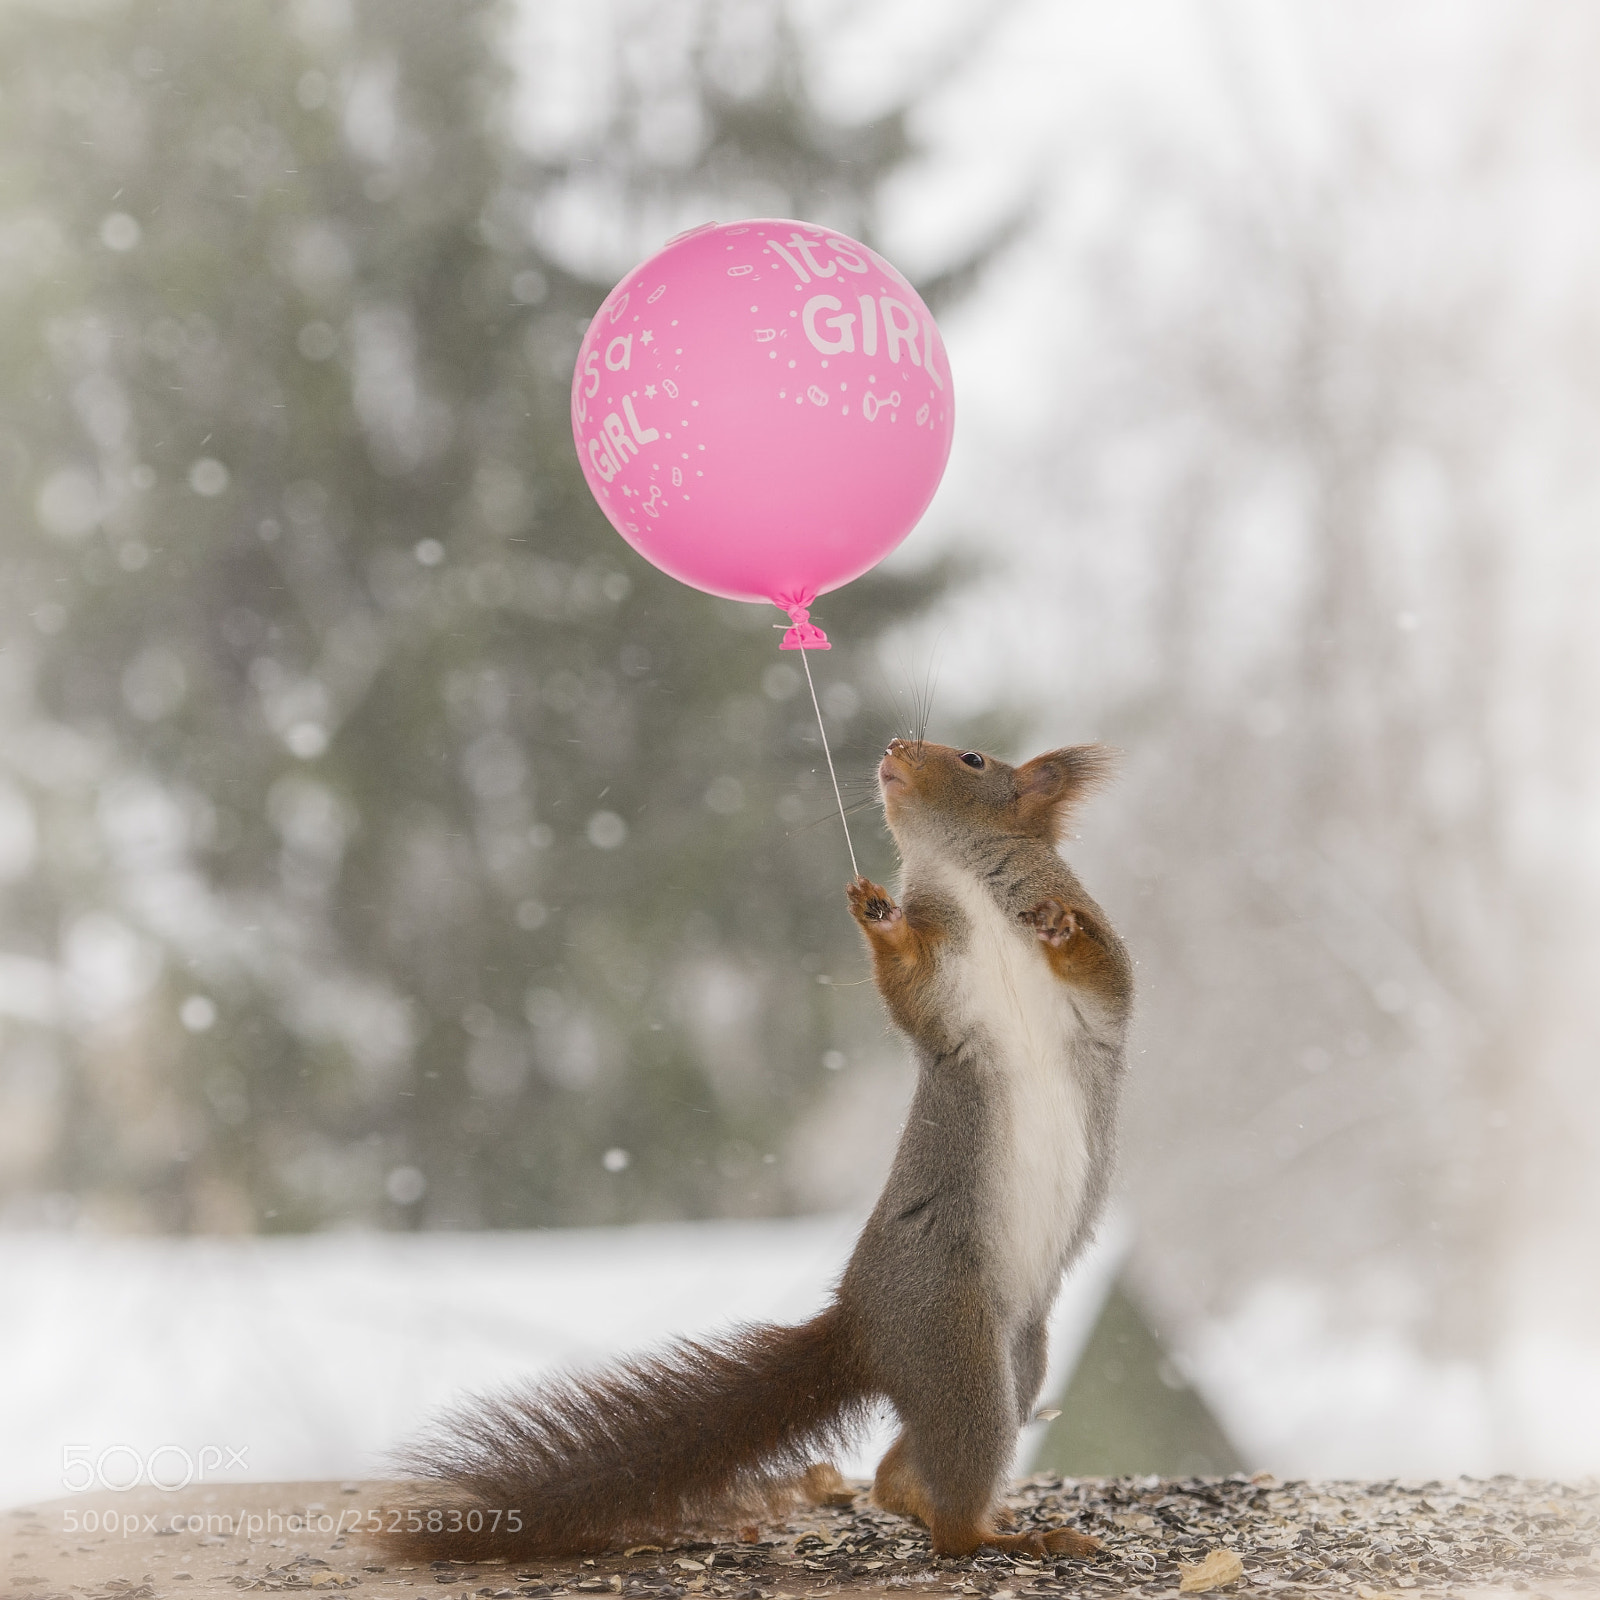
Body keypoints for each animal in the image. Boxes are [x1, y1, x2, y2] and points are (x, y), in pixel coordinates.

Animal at [384, 737, 1132, 1564]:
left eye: (970, 758)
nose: (895, 748)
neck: (965, 878)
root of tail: (860, 1325)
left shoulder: (1095, 983)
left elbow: (1109, 970)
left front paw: (1059, 928)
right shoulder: (946, 998)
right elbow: (910, 986)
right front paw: (878, 917)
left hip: (1017, 1351)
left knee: (915, 1466)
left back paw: (952, 1510)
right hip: (955, 1336)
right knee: (951, 1497)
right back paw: (996, 1533)